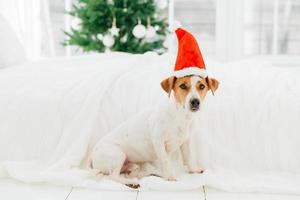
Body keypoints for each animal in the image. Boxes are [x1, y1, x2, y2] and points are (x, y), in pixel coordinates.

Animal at [88, 74, 219, 187]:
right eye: (182, 86)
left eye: (202, 86)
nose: (195, 102)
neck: (180, 116)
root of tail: (93, 156)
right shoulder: (158, 142)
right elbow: (166, 161)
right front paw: (170, 177)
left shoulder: (186, 142)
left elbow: (189, 157)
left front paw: (193, 170)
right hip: (118, 154)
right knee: (113, 176)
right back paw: (131, 182)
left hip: (131, 164)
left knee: (130, 172)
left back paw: (146, 174)